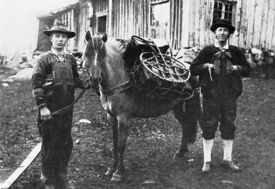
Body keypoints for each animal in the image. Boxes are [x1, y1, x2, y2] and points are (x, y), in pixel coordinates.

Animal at [83, 32, 202, 182]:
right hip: (179, 108)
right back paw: (180, 153)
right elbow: (115, 144)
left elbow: (121, 145)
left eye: (103, 55)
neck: (120, 79)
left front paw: (118, 173)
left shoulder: (123, 118)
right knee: (186, 126)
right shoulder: (111, 117)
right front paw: (111, 168)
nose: (94, 79)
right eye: (87, 54)